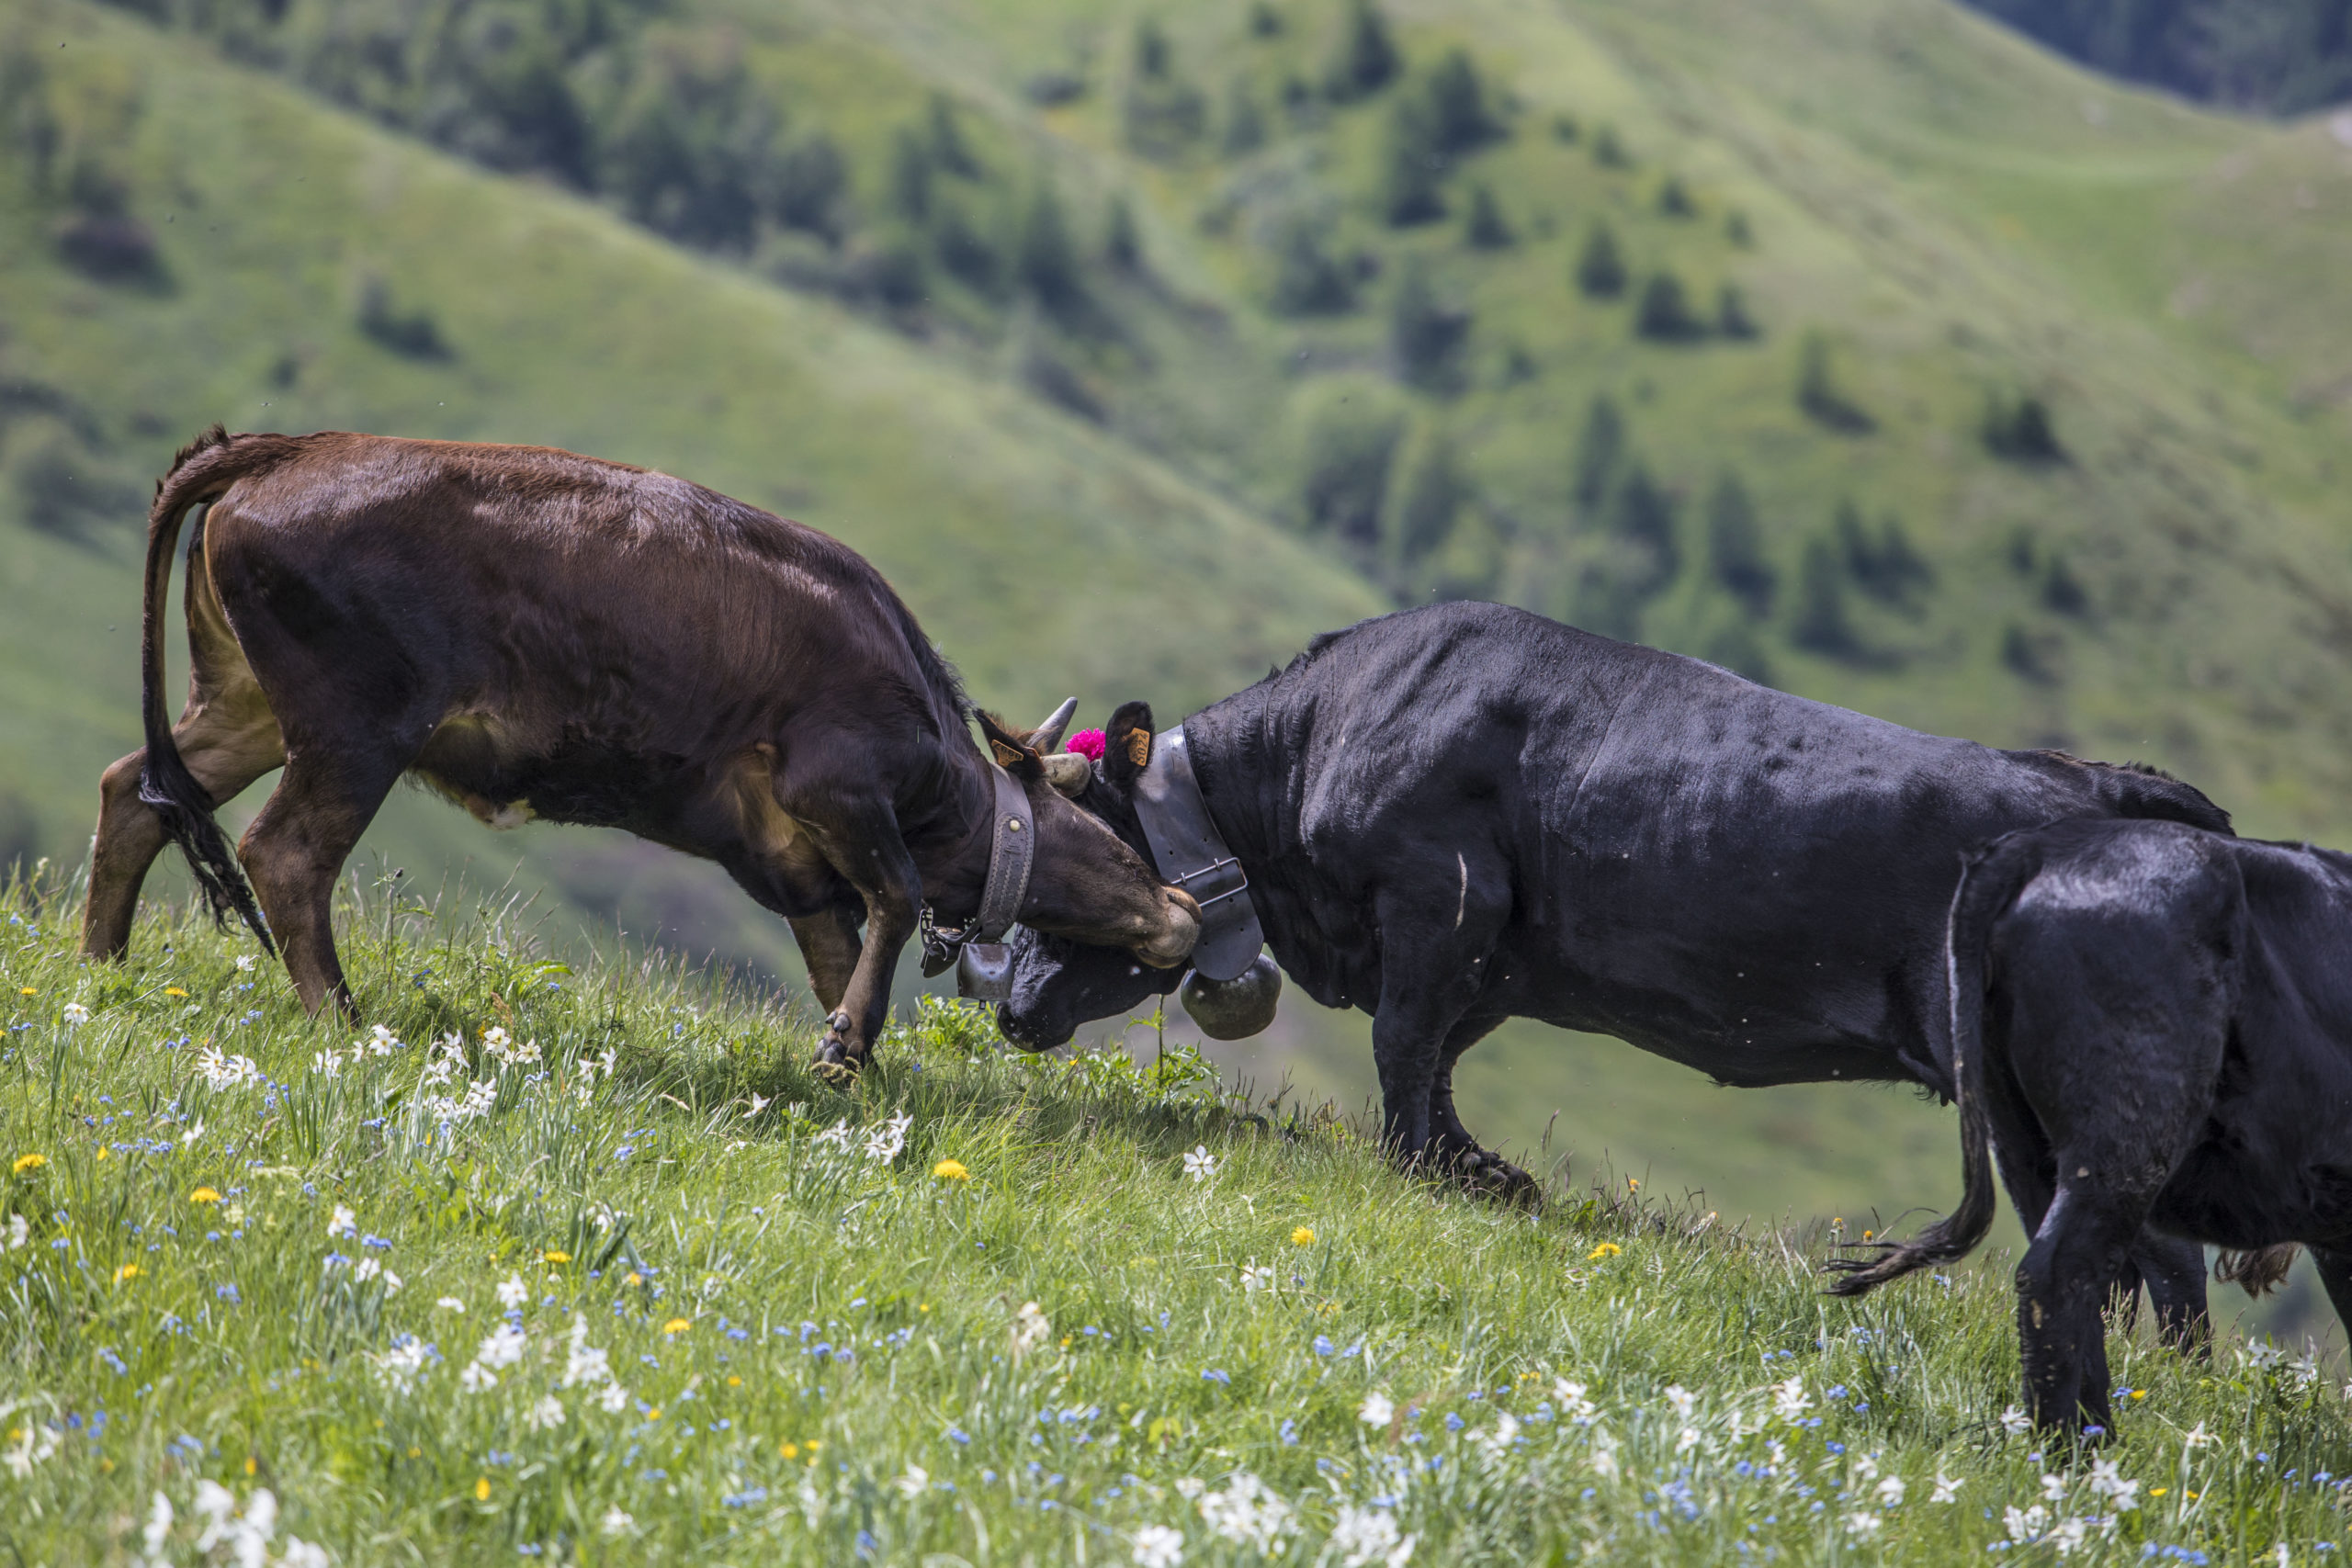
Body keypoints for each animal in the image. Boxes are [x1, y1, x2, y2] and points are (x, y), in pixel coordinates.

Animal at [83, 427, 1199, 1074]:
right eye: (1116, 838)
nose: (1181, 913)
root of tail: (281, 450)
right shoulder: (835, 784)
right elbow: (894, 899)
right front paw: (849, 1048)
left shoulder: (789, 858)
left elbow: (837, 950)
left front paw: (862, 1079)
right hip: (355, 723)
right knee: (284, 853)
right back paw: (345, 1025)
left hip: (248, 702)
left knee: (135, 791)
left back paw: (103, 972)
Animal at [992, 601, 2232, 1337]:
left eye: (1089, 836)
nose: (1008, 1004)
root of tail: (2110, 784)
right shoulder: (1492, 956)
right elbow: (1436, 1060)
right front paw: (1475, 1169)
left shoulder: (1437, 901)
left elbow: (1402, 1044)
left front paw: (1421, 1170)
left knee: (2147, 1249)